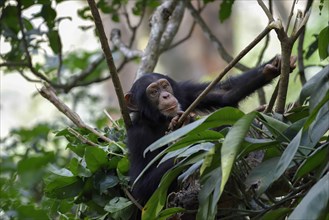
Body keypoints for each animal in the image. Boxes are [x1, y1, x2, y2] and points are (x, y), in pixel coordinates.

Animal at [124, 55, 296, 207]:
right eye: (153, 92)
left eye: (165, 86)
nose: (166, 95)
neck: (159, 119)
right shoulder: (137, 136)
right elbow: (140, 187)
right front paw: (193, 140)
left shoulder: (186, 92)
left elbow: (225, 94)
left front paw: (271, 67)